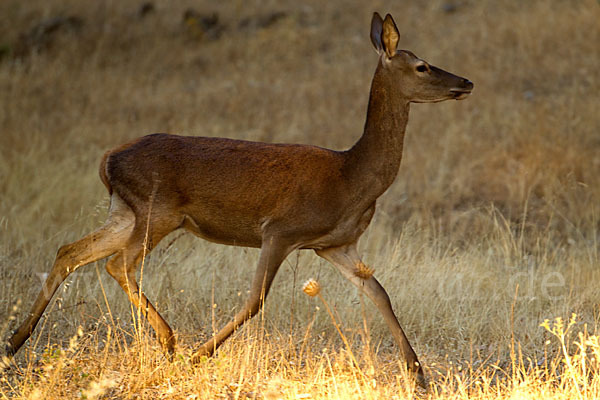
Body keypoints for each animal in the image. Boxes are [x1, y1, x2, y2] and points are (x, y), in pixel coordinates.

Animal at [4, 14, 474, 386]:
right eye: (422, 65)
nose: (466, 81)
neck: (351, 176)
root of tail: (108, 159)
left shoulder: (335, 244)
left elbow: (380, 292)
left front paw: (419, 374)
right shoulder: (281, 230)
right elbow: (255, 299)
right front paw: (198, 356)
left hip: (126, 211)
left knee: (70, 251)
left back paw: (15, 342)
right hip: (158, 210)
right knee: (118, 264)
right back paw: (170, 342)